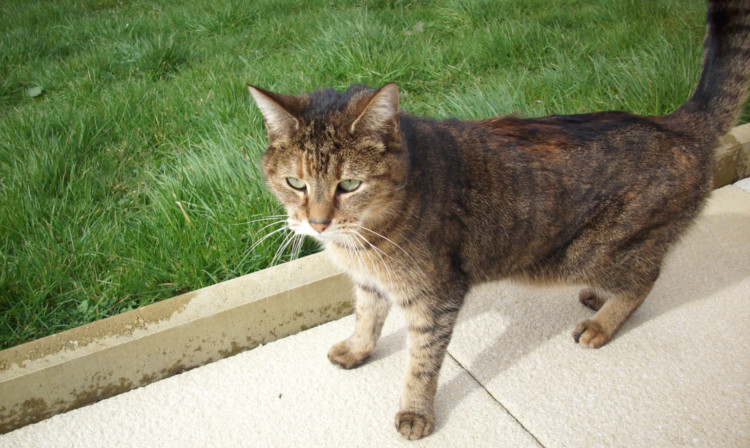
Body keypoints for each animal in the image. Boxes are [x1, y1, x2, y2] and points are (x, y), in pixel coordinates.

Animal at [248, 0, 750, 440]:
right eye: (295, 182)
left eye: (349, 185)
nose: (317, 223)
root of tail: (677, 124)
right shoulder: (371, 285)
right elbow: (366, 319)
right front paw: (357, 350)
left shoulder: (437, 298)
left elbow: (421, 363)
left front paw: (415, 412)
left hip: (591, 252)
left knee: (647, 277)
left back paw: (603, 323)